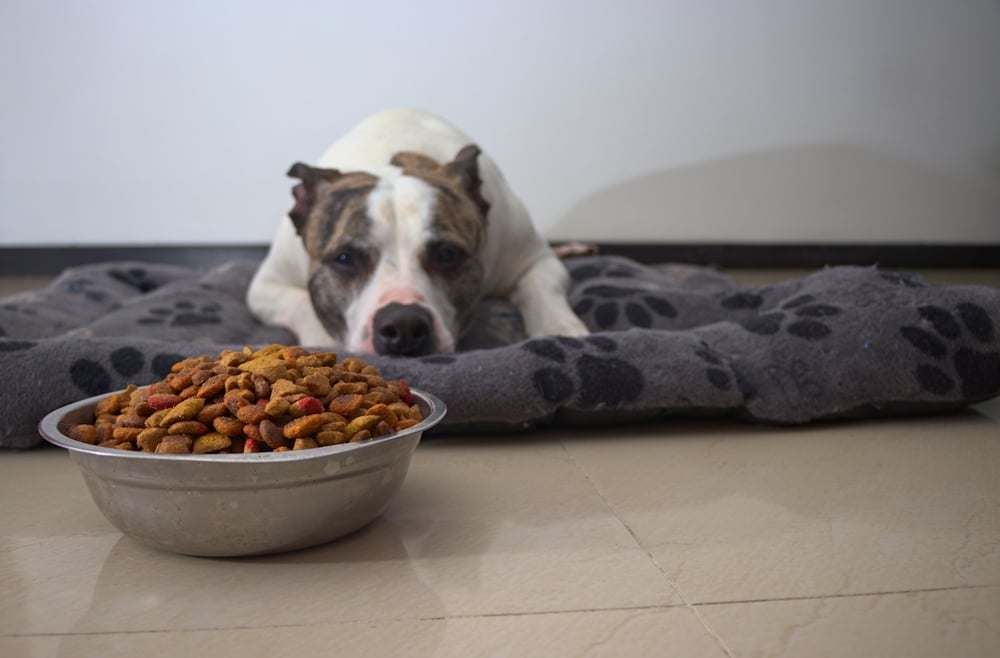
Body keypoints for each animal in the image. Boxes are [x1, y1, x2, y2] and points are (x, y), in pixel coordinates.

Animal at [247, 107, 588, 356]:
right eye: (344, 258)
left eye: (447, 254)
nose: (404, 325)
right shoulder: (266, 286)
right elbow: (302, 304)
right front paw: (325, 342)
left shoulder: (534, 258)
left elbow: (541, 287)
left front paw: (560, 329)